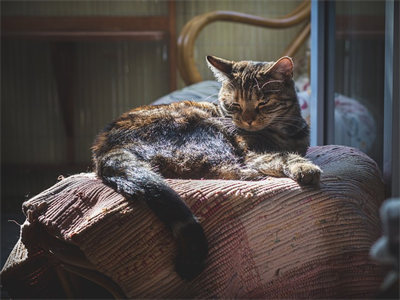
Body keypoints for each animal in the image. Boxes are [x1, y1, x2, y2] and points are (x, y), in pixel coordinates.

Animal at [91, 55, 322, 280]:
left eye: (263, 103)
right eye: (234, 105)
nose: (247, 121)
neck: (285, 131)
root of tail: (107, 147)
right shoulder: (252, 153)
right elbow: (282, 156)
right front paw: (304, 167)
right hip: (207, 132)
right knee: (219, 169)